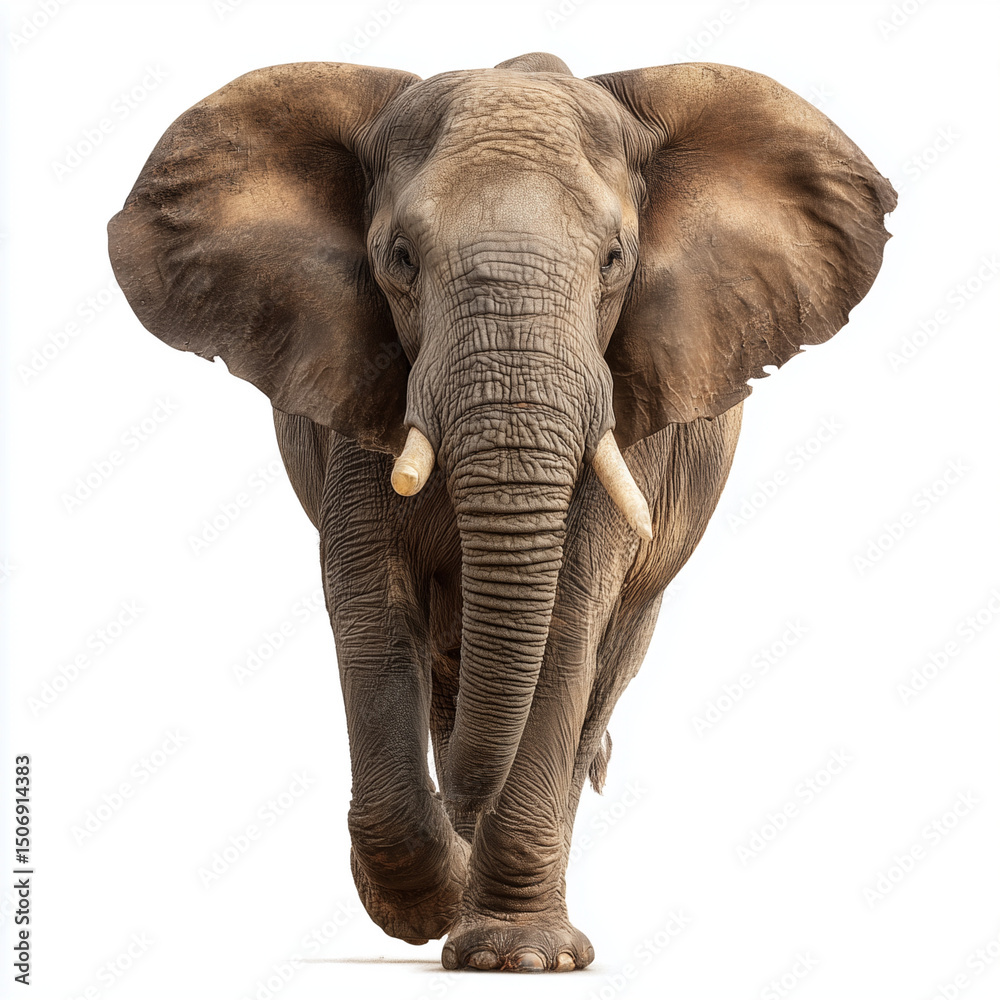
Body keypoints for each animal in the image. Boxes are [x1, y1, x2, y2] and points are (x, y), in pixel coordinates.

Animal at [108, 51, 895, 972]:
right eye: (400, 259)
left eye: (614, 261)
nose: (463, 814)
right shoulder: (363, 387)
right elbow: (368, 601)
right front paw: (433, 899)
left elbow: (566, 623)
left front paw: (513, 956)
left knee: (595, 688)